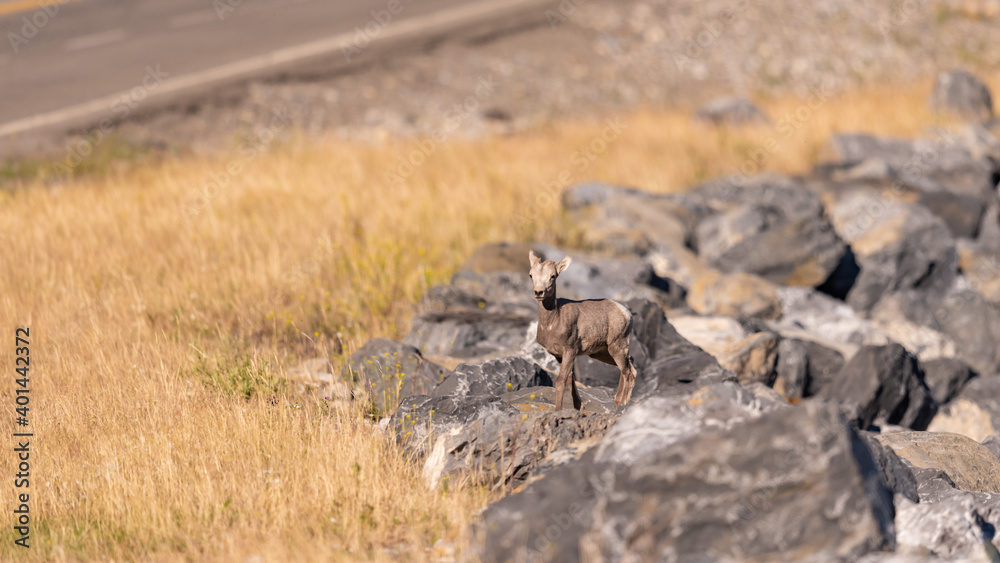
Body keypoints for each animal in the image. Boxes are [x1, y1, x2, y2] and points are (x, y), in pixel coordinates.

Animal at [528, 251, 637, 410]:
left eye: (553, 276)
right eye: (531, 275)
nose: (539, 292)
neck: (553, 320)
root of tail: (626, 313)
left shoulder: (570, 351)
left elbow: (560, 381)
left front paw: (558, 410)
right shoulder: (559, 356)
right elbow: (569, 380)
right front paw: (579, 407)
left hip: (616, 347)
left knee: (627, 372)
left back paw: (621, 404)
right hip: (601, 353)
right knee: (630, 367)